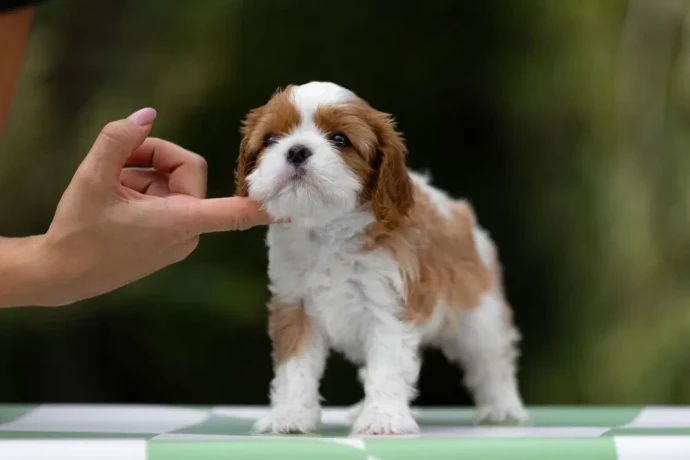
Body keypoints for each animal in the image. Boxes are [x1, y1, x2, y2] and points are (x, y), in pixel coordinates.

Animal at [234, 82, 524, 434]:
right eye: (271, 139)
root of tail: (458, 211)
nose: (297, 150)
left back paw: (503, 408)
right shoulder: (294, 306)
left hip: (479, 312)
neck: (327, 229)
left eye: (340, 139)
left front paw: (383, 418)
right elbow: (295, 367)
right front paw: (290, 415)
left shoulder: (388, 307)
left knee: (492, 361)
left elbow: (387, 366)